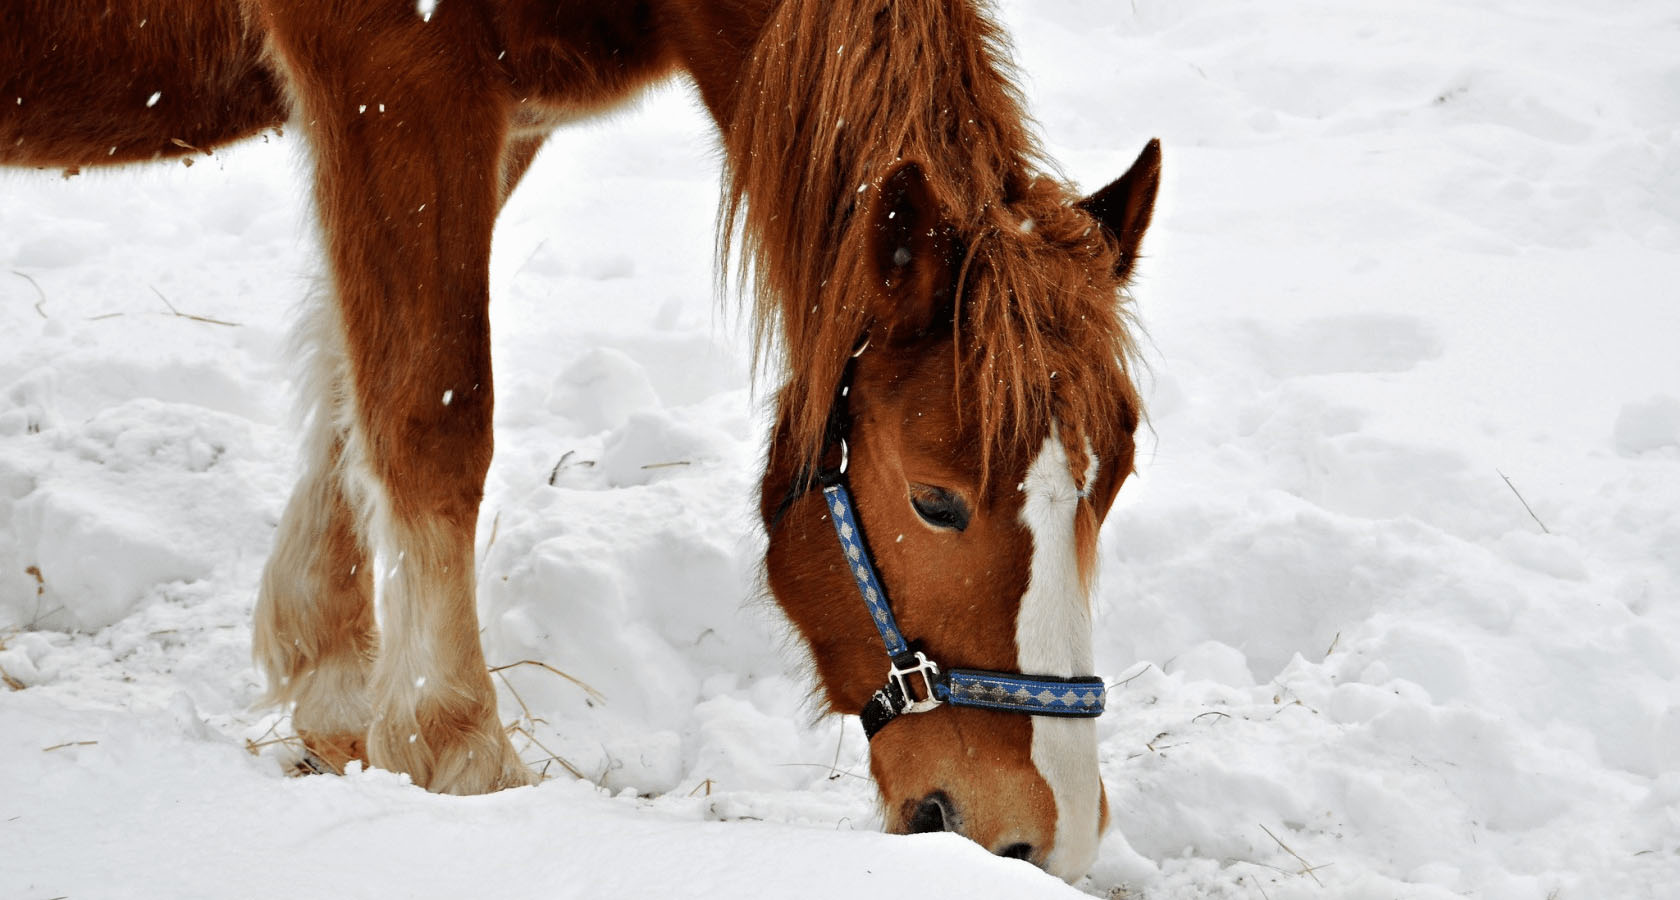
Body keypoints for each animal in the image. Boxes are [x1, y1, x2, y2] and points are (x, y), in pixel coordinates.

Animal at [3, 0, 1155, 879]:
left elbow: (348, 384)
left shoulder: (495, 110)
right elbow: (433, 410)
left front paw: (334, 684)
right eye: (935, 499)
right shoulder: (392, 67)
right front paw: (457, 751)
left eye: (1112, 490)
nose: (1044, 834)